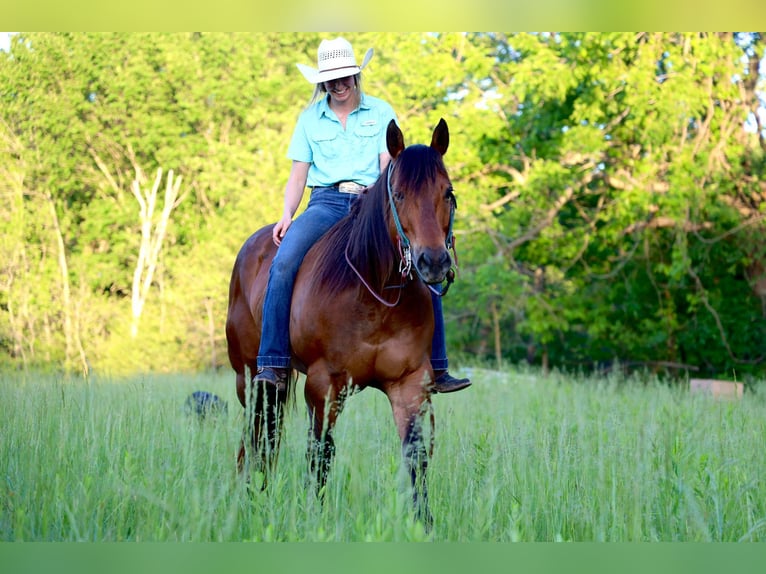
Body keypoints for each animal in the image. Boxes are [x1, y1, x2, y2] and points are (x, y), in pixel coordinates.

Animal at [225, 119, 460, 528]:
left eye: (447, 193)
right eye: (398, 194)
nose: (432, 262)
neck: (375, 294)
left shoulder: (411, 385)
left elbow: (416, 457)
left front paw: (424, 526)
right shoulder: (324, 387)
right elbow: (320, 457)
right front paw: (314, 521)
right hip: (251, 378)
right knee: (254, 439)